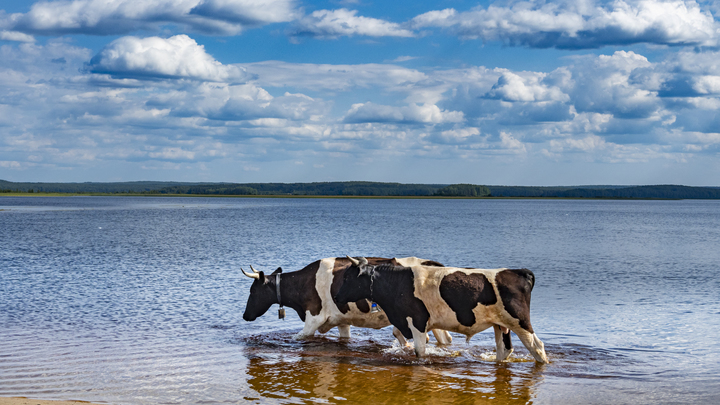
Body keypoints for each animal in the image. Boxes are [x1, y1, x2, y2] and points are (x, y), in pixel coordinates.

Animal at [243, 256, 456, 344]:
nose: (244, 316)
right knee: (446, 339)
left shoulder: (314, 318)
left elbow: (299, 337)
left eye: (252, 291)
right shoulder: (341, 321)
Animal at [334, 258, 548, 364]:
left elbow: (420, 351)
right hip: (501, 324)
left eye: (348, 278)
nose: (336, 297)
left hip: (520, 321)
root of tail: (518, 271)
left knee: (537, 347)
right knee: (505, 349)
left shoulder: (417, 321)